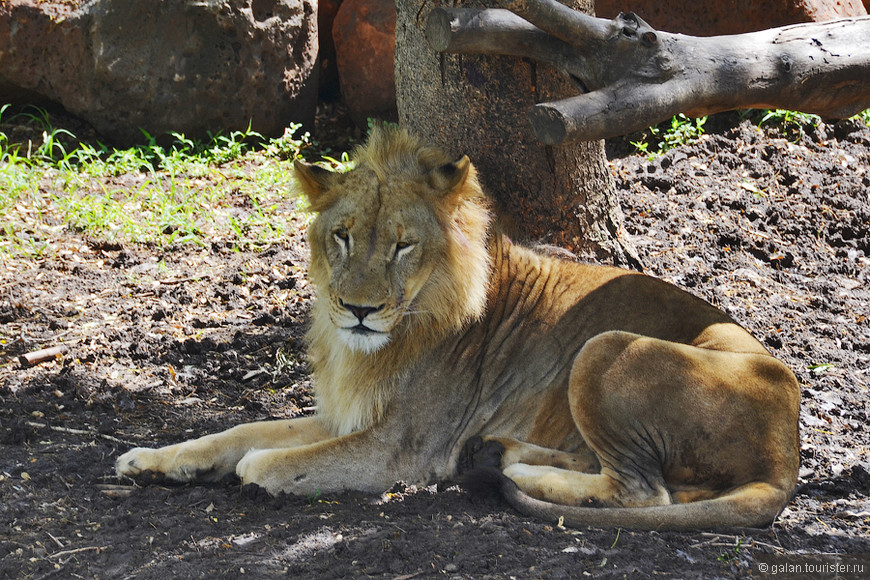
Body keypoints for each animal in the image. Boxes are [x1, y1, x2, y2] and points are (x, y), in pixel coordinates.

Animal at [117, 125, 804, 532]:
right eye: (342, 237)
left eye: (403, 245)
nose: (359, 310)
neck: (368, 347)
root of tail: (788, 450)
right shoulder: (350, 414)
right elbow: (240, 431)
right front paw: (151, 461)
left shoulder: (403, 448)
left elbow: (268, 461)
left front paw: (248, 472)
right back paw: (499, 453)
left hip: (606, 348)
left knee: (644, 493)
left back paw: (514, 474)